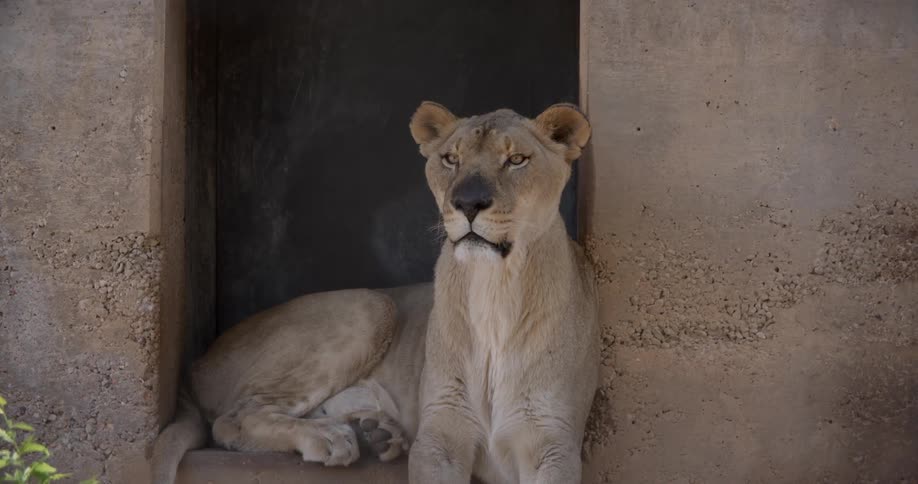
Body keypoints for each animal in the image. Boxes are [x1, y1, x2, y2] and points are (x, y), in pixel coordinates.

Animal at [151, 102, 599, 484]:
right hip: (372, 304)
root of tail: (196, 366)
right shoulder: (439, 437)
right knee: (232, 418)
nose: (467, 202)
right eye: (450, 159)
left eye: (516, 160)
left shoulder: (553, 443)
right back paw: (331, 437)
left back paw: (373, 431)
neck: (495, 287)